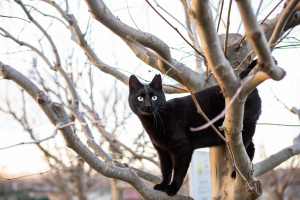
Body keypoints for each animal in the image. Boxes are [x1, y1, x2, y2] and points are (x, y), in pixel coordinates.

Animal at [127, 64, 262, 197]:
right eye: (140, 98)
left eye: (154, 97)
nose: (148, 105)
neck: (154, 123)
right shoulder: (162, 151)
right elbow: (165, 170)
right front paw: (162, 185)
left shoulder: (182, 148)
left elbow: (178, 172)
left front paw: (172, 188)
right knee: (250, 149)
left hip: (241, 129)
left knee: (242, 149)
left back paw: (237, 173)